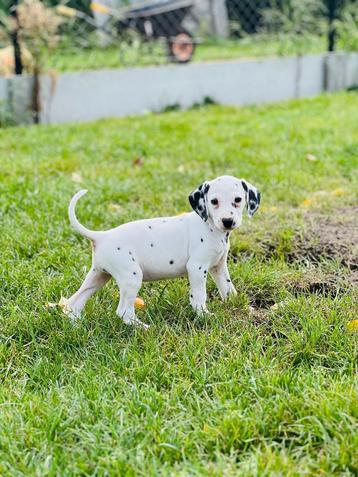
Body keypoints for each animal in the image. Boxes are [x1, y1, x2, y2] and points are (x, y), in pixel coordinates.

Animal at [65, 175, 260, 328]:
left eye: (238, 200)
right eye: (214, 201)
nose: (227, 221)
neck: (209, 225)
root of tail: (101, 236)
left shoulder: (218, 267)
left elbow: (228, 289)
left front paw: (241, 307)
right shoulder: (196, 268)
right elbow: (199, 295)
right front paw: (204, 316)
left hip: (98, 276)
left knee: (73, 303)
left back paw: (77, 328)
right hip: (131, 277)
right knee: (123, 312)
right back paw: (144, 328)